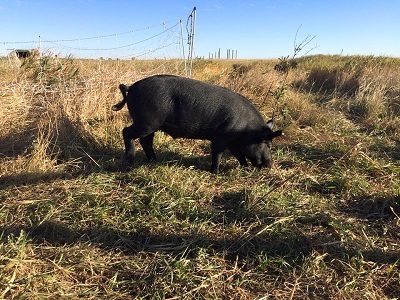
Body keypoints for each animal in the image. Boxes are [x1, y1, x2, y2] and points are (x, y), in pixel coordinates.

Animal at [111, 74, 282, 175]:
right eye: (268, 144)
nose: (270, 164)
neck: (246, 130)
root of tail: (131, 87)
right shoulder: (221, 137)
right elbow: (217, 154)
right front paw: (215, 173)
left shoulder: (233, 142)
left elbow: (239, 155)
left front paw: (245, 169)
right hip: (147, 122)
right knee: (126, 132)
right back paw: (129, 160)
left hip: (151, 125)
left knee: (145, 140)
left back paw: (154, 161)